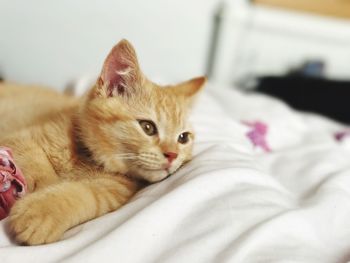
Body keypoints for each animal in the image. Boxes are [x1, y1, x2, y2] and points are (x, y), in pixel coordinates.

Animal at [0, 39, 205, 245]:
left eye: (183, 138)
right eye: (147, 127)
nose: (173, 155)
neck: (88, 158)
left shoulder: (111, 191)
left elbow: (85, 196)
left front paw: (41, 212)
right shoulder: (19, 138)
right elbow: (35, 164)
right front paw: (43, 186)